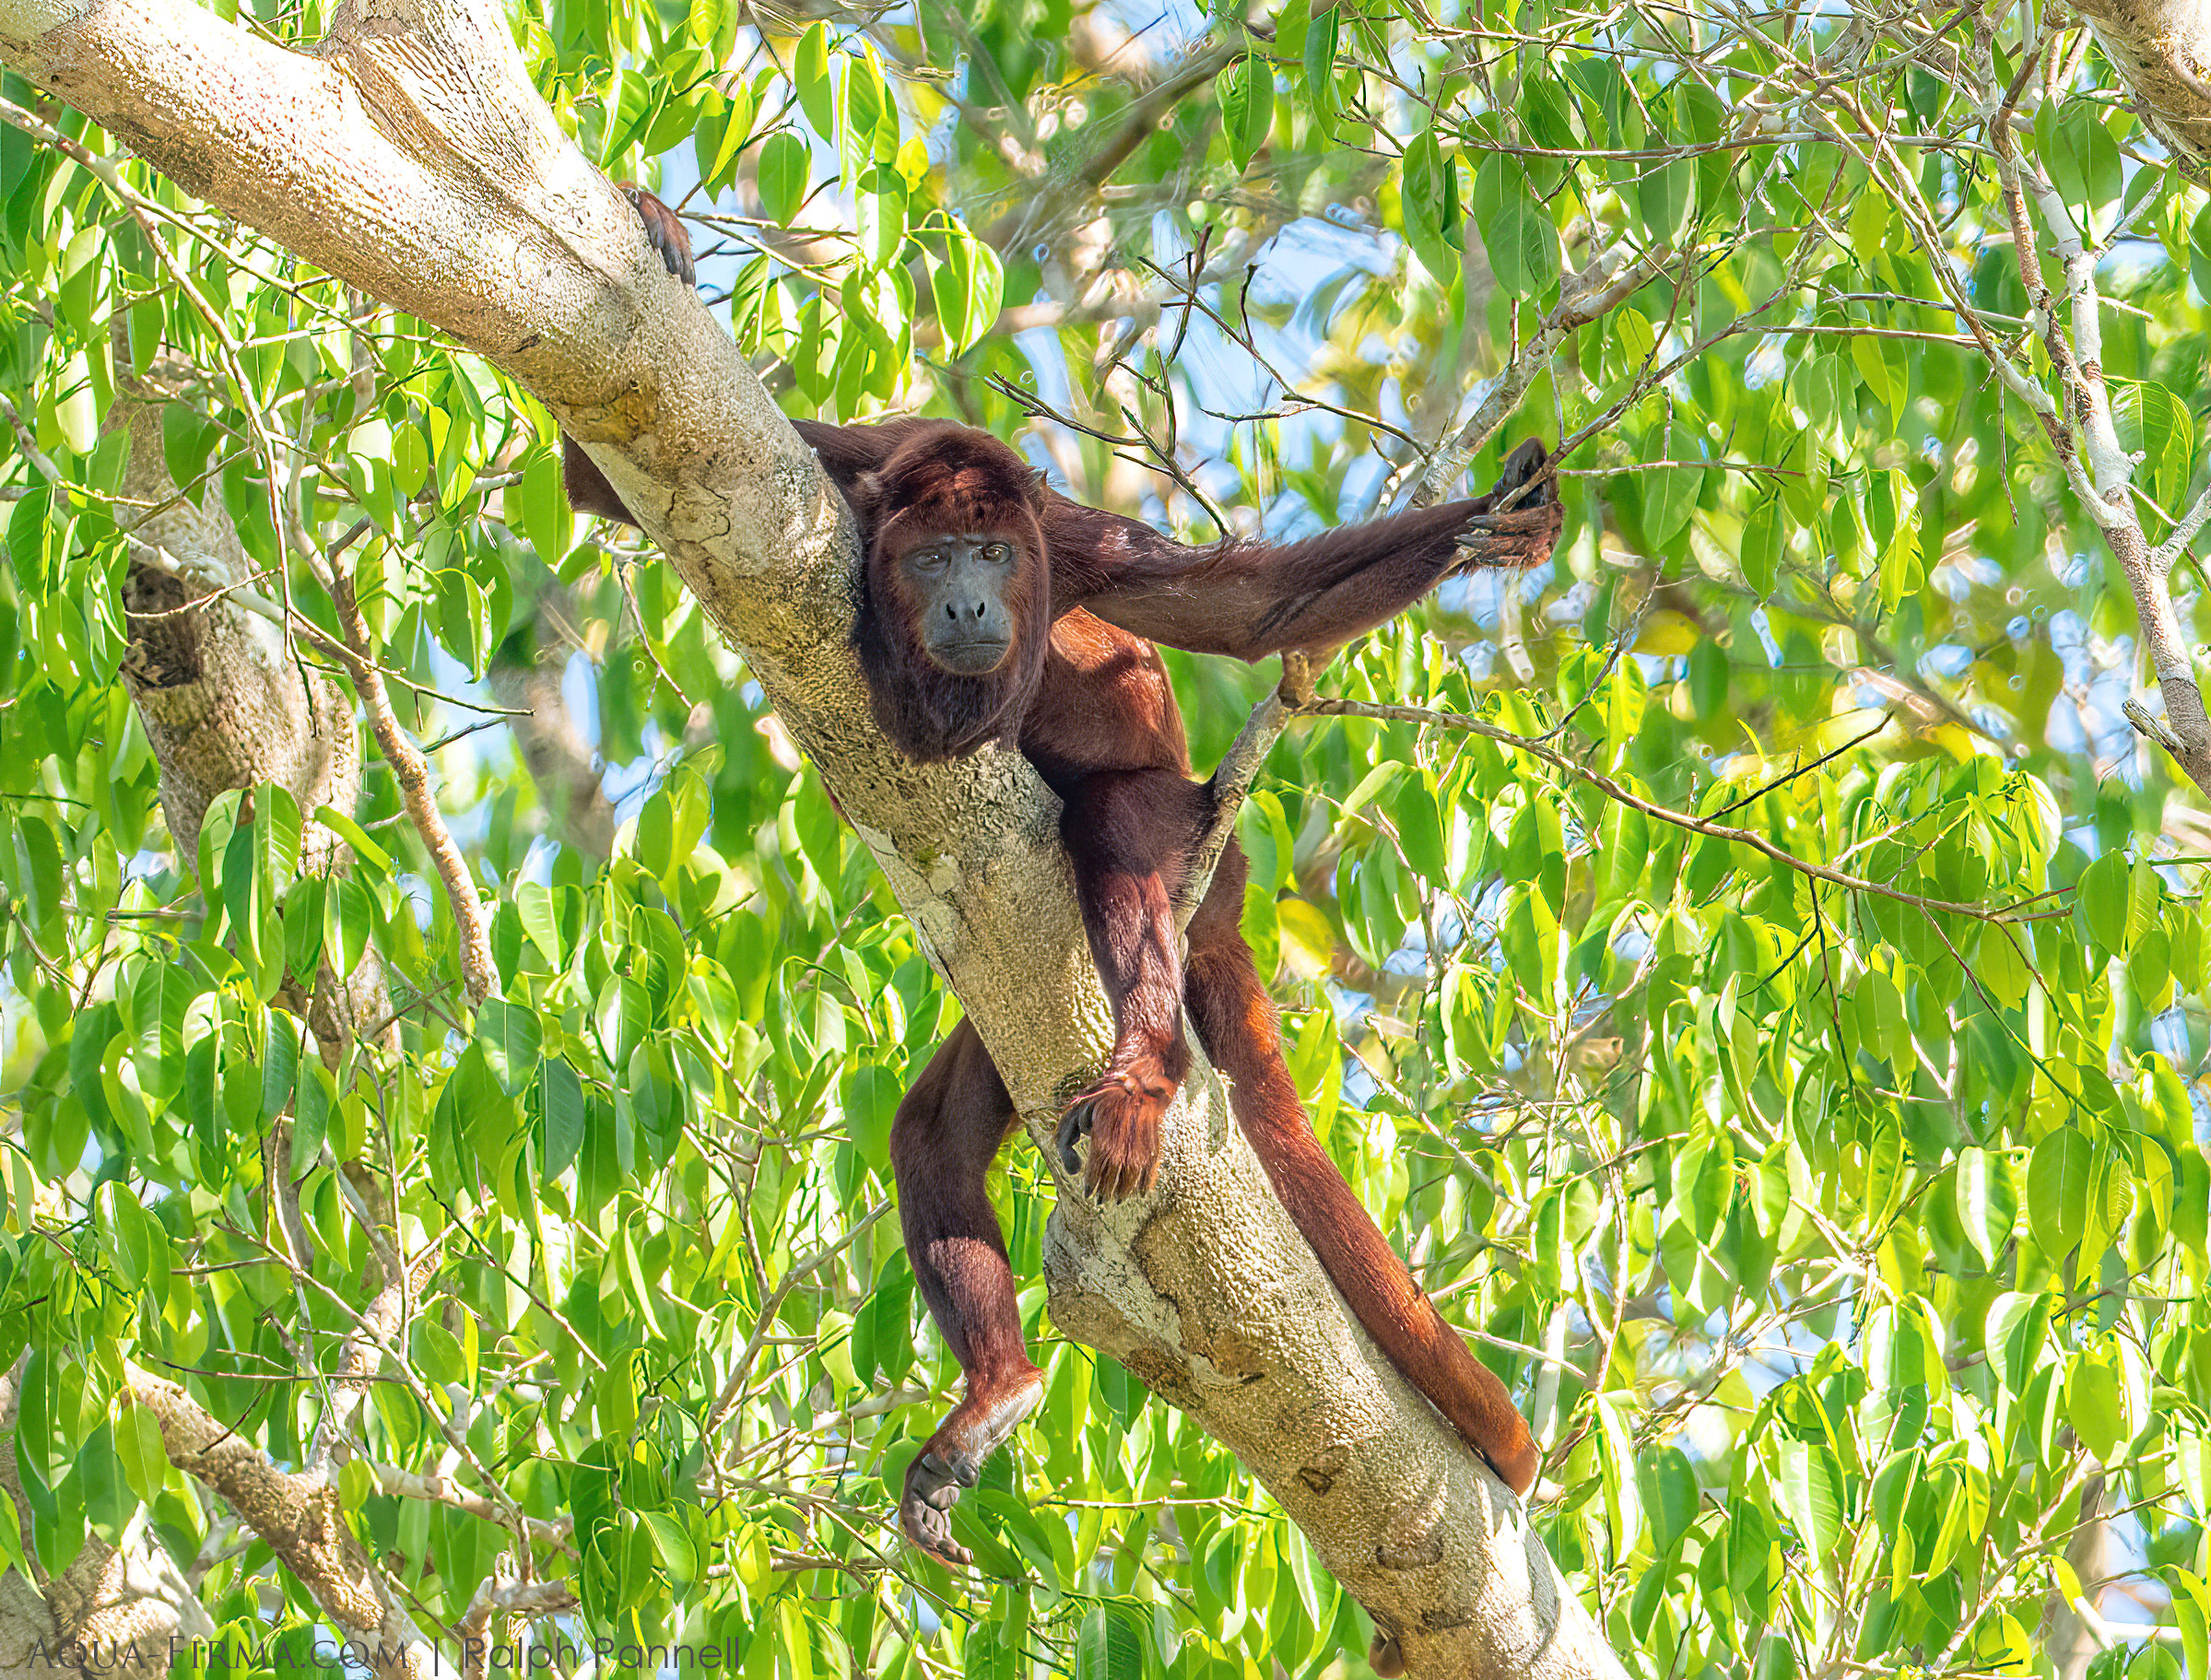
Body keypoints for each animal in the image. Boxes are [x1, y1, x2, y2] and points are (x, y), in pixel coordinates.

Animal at [570, 190, 1574, 1565]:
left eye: (991, 552)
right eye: (930, 559)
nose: (971, 605)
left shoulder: (1063, 532)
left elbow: (1240, 608)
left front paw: (1498, 522)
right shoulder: (843, 469)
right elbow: (594, 462)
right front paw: (654, 227)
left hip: (1195, 836)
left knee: (1110, 829)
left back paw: (1149, 1066)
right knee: (933, 1129)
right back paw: (997, 1386)